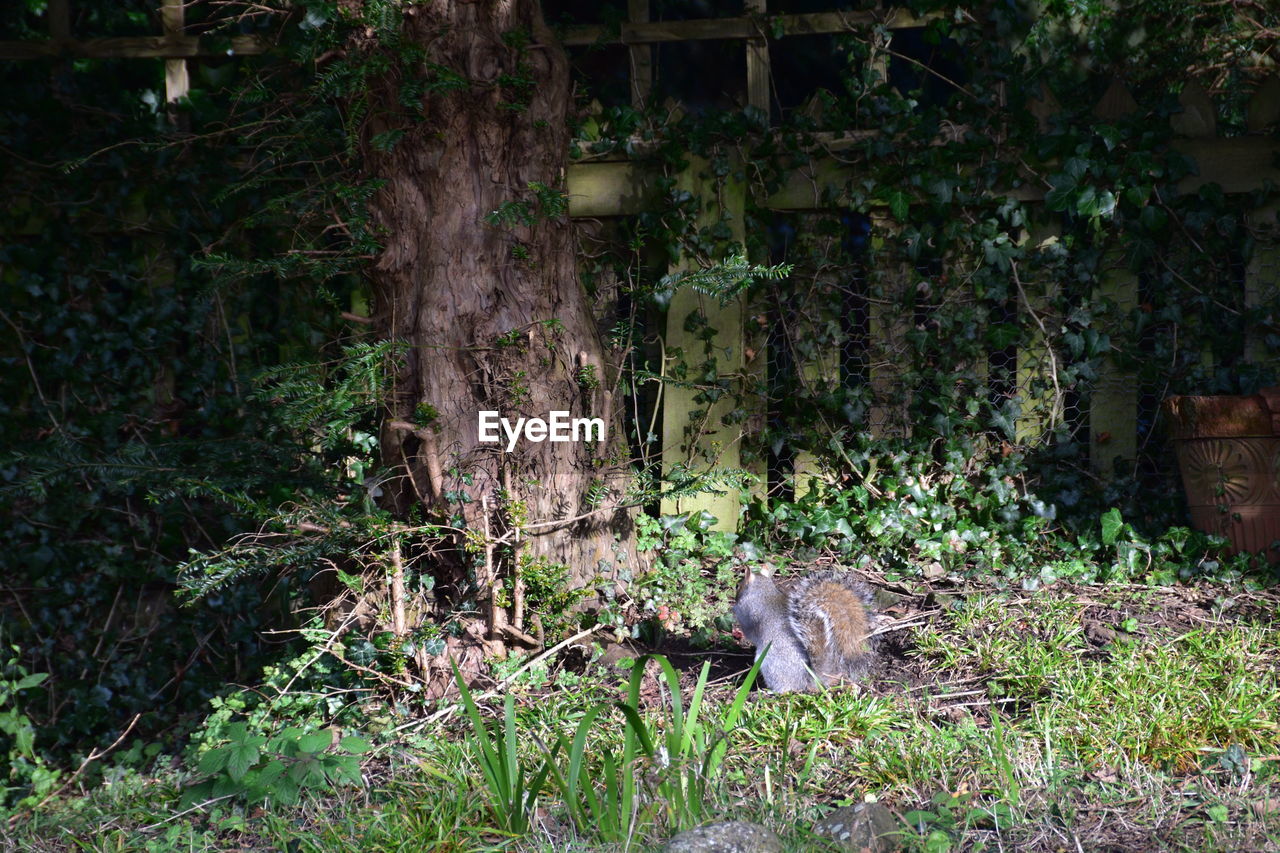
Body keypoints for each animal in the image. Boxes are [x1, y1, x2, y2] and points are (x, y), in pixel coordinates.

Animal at [732, 563, 880, 691]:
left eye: (738, 585)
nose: (734, 596)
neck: (762, 590)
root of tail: (807, 681)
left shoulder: (748, 614)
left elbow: (749, 630)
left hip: (769, 663)